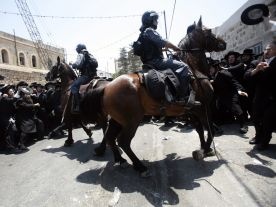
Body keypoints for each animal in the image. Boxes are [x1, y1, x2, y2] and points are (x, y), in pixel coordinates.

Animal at [80, 17, 226, 177]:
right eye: (209, 31)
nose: (223, 43)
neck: (194, 71)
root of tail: (106, 87)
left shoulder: (192, 111)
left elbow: (200, 130)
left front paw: (205, 148)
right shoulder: (203, 108)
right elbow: (210, 129)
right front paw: (204, 150)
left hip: (117, 120)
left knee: (110, 137)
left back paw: (121, 160)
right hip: (132, 120)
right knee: (123, 141)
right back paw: (140, 166)